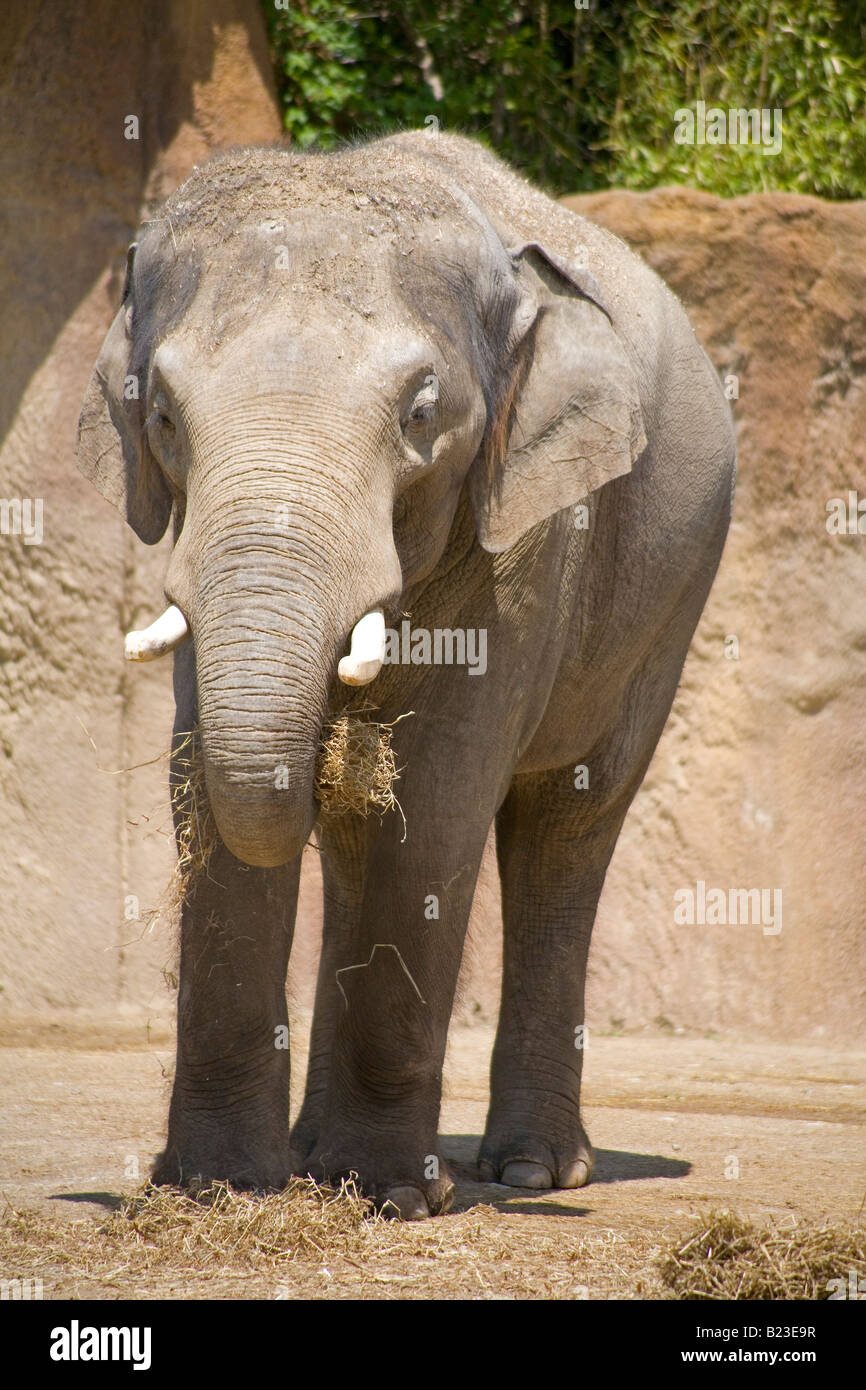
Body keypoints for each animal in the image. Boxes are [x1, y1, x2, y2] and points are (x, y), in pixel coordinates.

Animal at [76, 131, 735, 1220]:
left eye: (422, 414)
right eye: (162, 415)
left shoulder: (525, 531)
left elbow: (432, 807)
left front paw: (386, 1195)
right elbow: (207, 791)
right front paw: (220, 1186)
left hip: (670, 596)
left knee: (568, 826)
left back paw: (529, 1170)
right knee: (360, 838)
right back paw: (313, 1155)